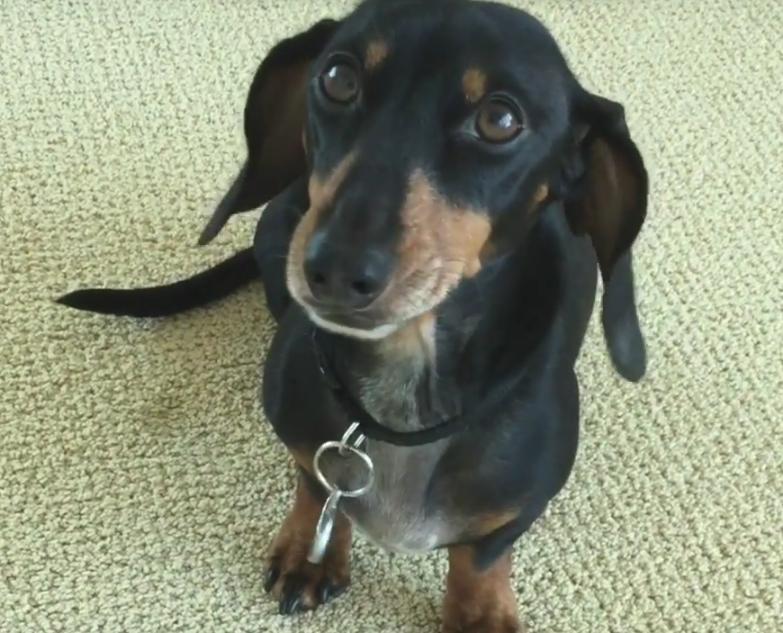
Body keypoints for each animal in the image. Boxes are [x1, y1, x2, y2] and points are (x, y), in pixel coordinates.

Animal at [58, 2, 648, 628]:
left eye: (499, 119)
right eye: (338, 78)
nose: (336, 270)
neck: (402, 405)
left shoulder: (517, 508)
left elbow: (482, 557)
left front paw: (480, 613)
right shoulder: (305, 438)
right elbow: (317, 487)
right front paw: (310, 553)